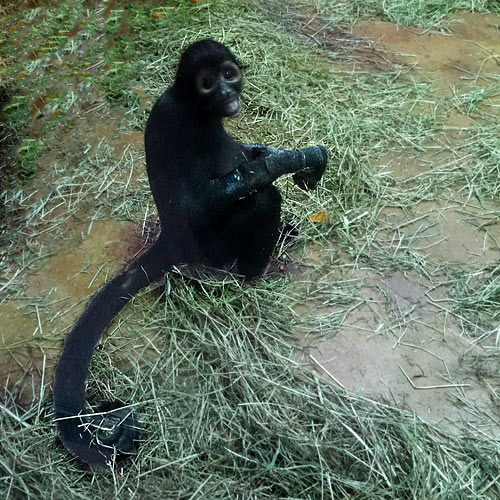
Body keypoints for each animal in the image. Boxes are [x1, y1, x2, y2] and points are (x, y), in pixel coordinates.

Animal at [52, 39, 328, 468]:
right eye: (207, 83)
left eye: (229, 74)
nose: (228, 92)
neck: (196, 108)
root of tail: (171, 240)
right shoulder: (178, 119)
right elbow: (200, 205)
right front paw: (291, 159)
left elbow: (249, 153)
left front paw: (288, 153)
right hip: (210, 247)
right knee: (262, 198)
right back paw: (254, 272)